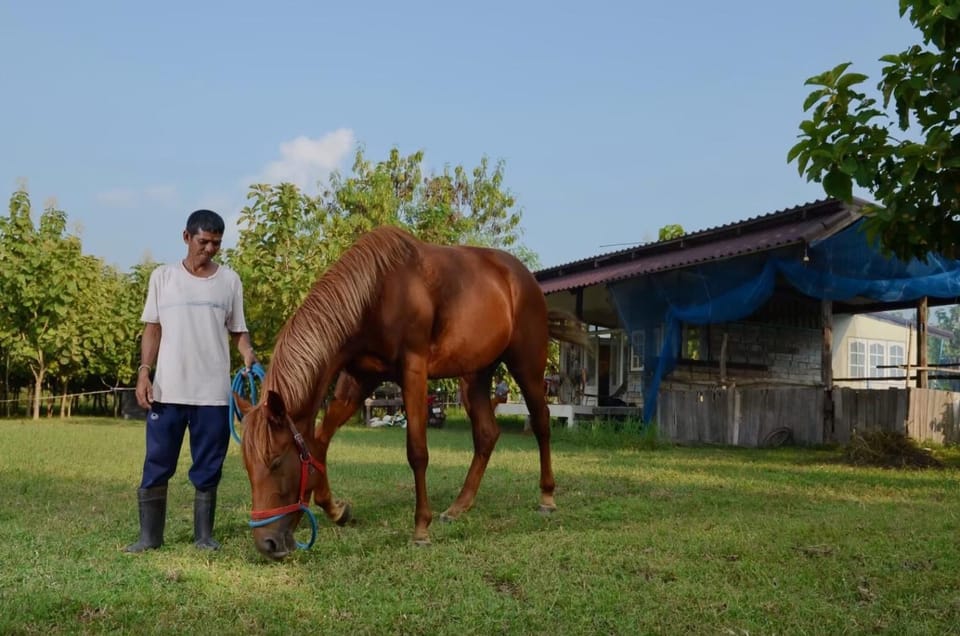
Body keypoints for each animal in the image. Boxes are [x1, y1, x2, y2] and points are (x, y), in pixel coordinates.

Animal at [235, 225, 588, 560]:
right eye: (247, 466)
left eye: (276, 461)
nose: (267, 543)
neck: (376, 292)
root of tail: (524, 279)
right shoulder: (359, 377)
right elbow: (320, 440)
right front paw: (336, 509)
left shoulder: (413, 371)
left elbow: (417, 452)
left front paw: (421, 529)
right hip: (474, 375)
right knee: (487, 434)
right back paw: (459, 507)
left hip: (527, 365)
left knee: (541, 422)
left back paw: (547, 497)